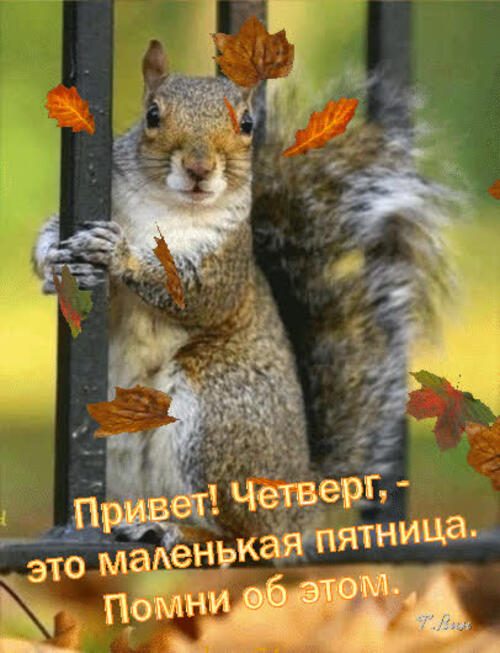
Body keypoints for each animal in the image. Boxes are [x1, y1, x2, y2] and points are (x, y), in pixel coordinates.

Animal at [33, 40, 452, 548]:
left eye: (248, 125)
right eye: (152, 115)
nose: (198, 169)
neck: (168, 207)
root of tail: (299, 503)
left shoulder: (228, 262)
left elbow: (194, 295)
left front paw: (120, 255)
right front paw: (53, 260)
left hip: (218, 413)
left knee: (241, 534)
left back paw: (177, 527)